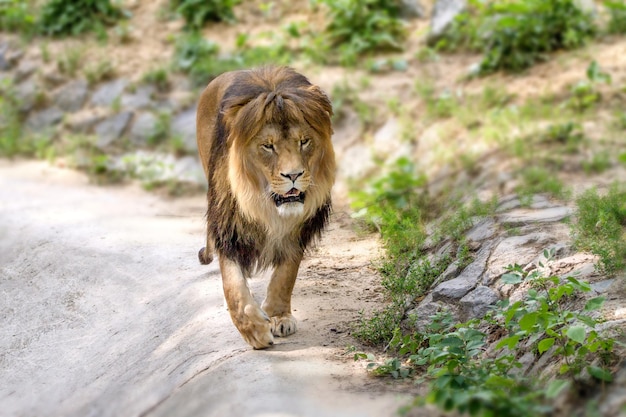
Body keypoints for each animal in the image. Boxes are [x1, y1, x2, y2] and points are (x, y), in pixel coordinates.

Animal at [195, 66, 334, 350]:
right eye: (268, 146)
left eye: (304, 141)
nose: (293, 175)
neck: (267, 206)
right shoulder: (229, 227)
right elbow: (233, 286)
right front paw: (254, 330)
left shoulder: (298, 229)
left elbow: (285, 275)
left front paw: (278, 316)